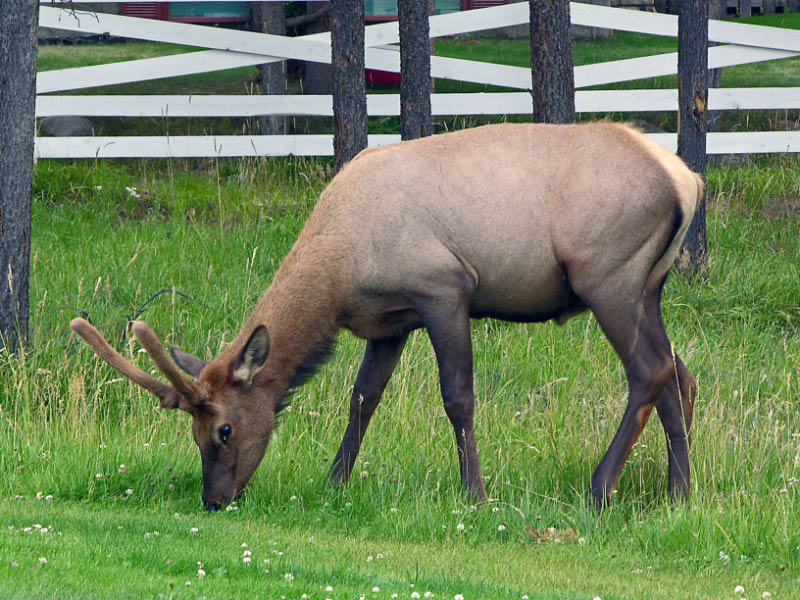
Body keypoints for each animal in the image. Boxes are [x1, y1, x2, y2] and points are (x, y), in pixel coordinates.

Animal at [71, 121, 701, 512]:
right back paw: (678, 494)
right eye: (195, 432)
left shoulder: (444, 288)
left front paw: (475, 493)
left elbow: (458, 396)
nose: (214, 498)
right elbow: (363, 396)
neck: (340, 272)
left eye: (223, 429)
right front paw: (334, 482)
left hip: (607, 276)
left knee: (649, 371)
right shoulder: (389, 322)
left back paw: (600, 490)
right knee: (678, 374)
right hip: (647, 287)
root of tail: (687, 180)